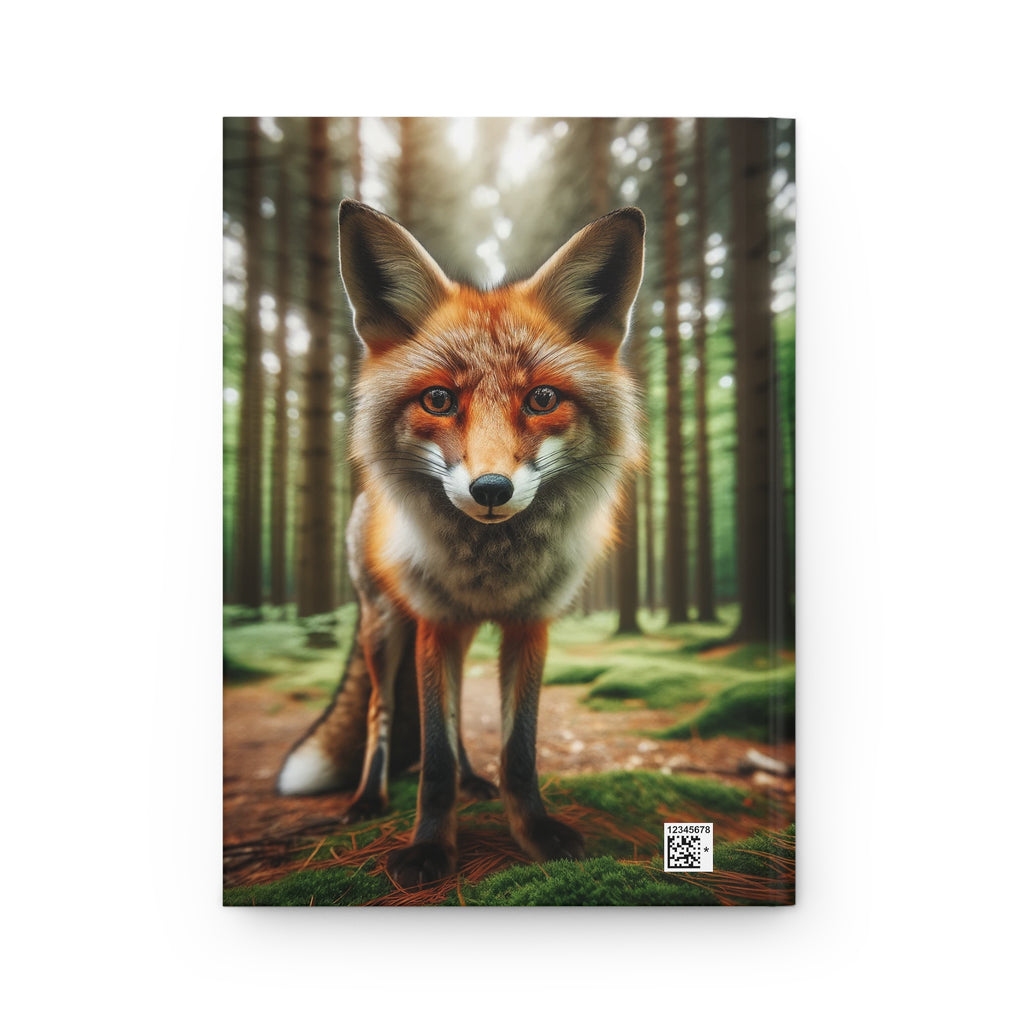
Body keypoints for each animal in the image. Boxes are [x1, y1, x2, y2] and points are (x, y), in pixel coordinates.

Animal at [277, 199, 645, 887]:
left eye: (542, 398)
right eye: (439, 399)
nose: (491, 488)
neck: (490, 571)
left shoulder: (528, 624)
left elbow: (517, 749)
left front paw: (534, 833)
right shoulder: (436, 622)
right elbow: (435, 756)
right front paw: (428, 847)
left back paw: (476, 781)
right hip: (385, 626)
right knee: (383, 713)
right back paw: (367, 798)